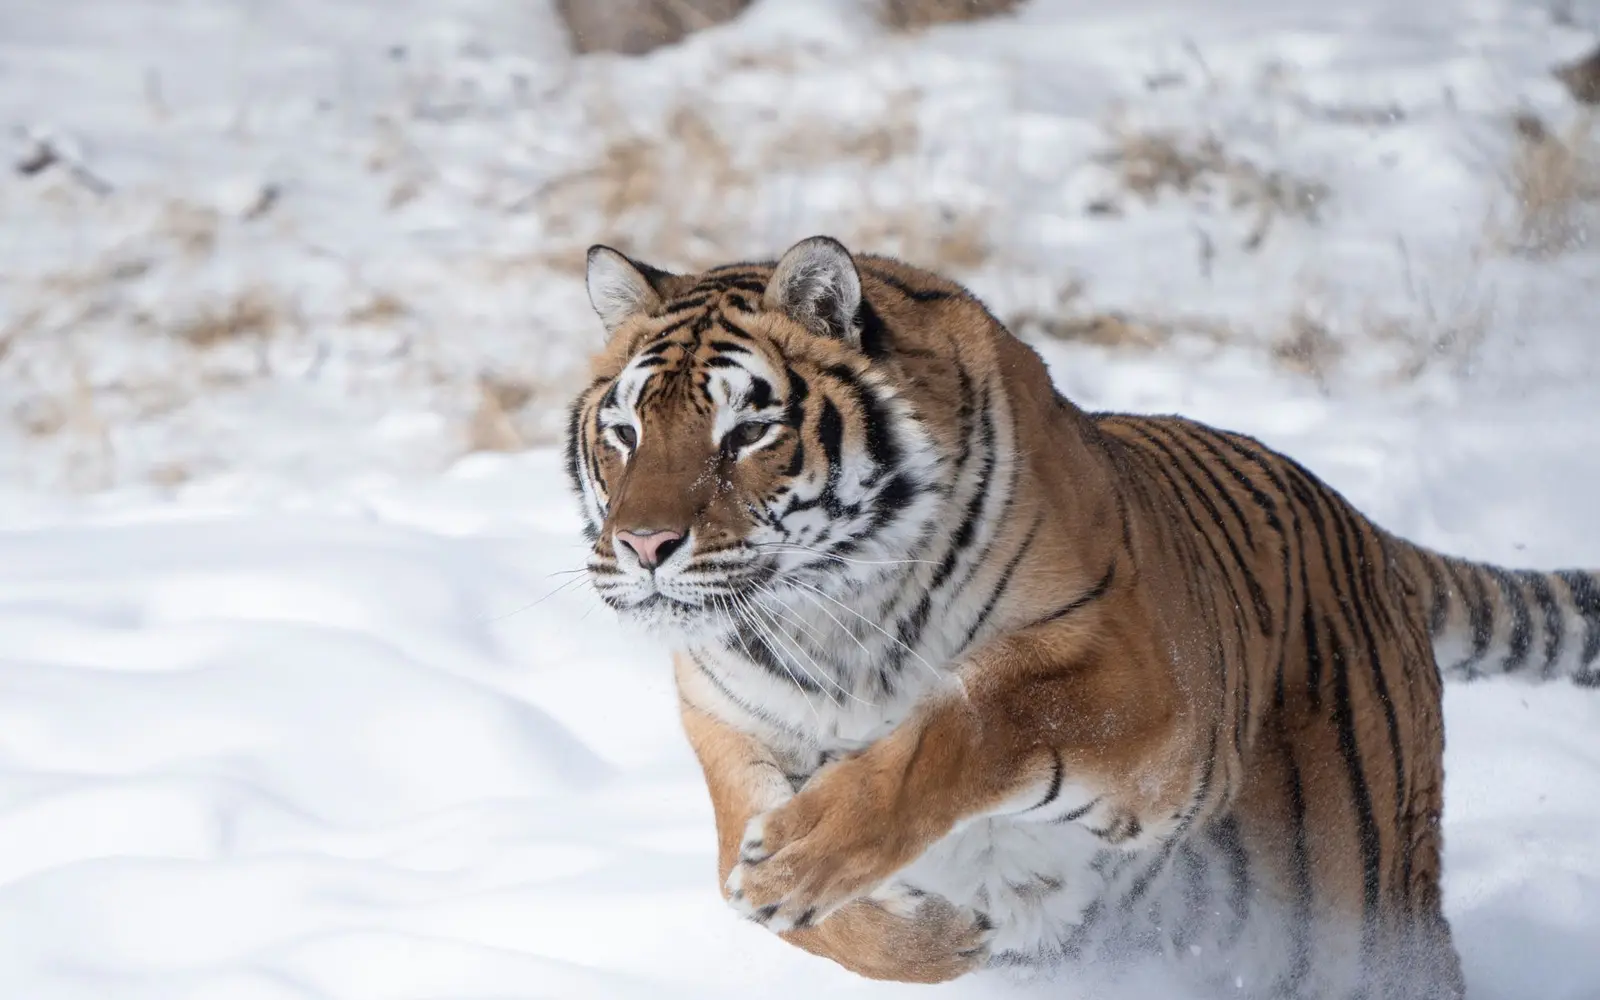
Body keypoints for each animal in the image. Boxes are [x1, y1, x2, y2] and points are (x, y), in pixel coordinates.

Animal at [563, 235, 1598, 998]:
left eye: (747, 431)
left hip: (1364, 906)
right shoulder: (730, 723)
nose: (645, 547)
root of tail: (1368, 532)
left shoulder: (1146, 684)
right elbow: (769, 890)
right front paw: (933, 931)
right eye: (625, 432)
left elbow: (977, 718)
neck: (833, 615)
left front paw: (804, 860)